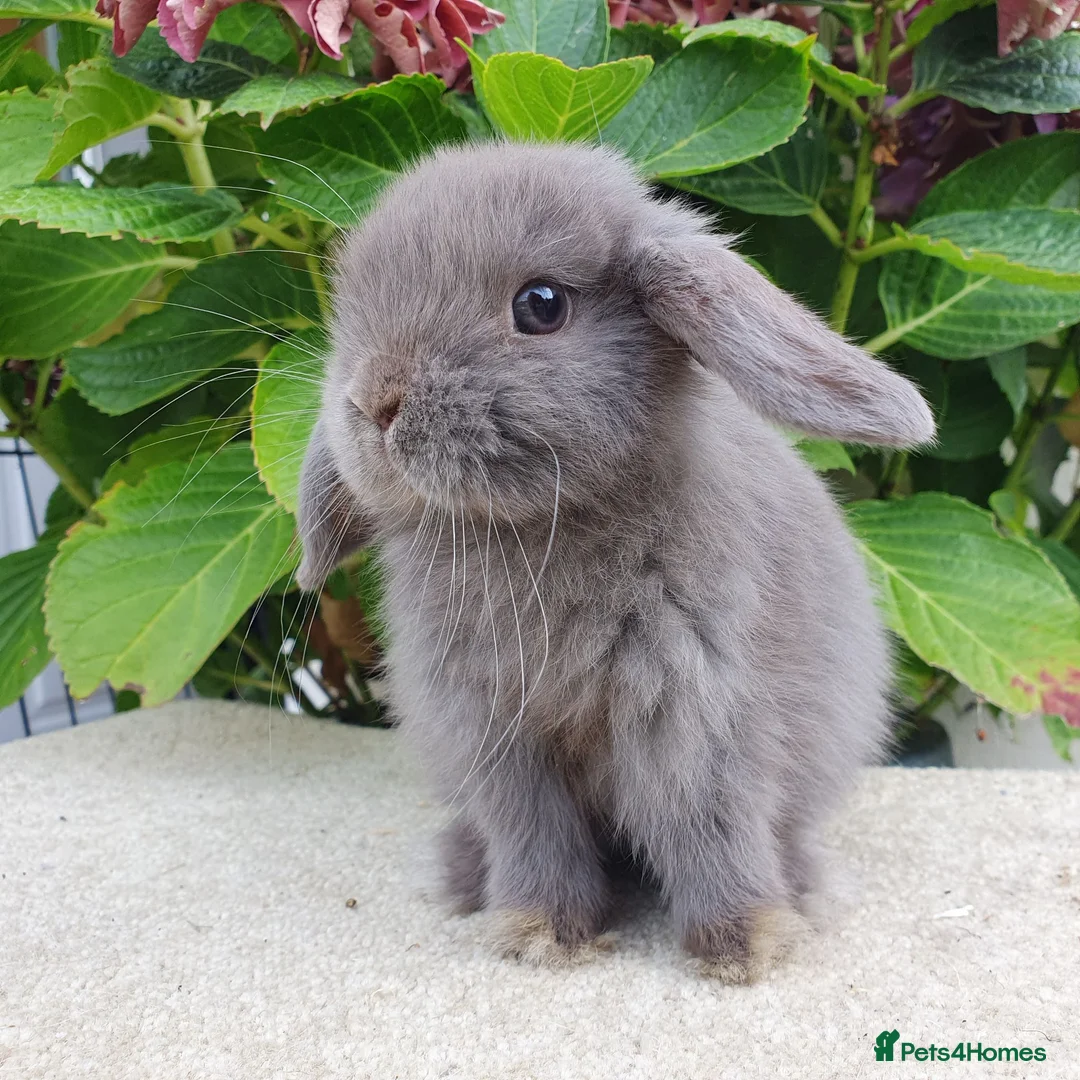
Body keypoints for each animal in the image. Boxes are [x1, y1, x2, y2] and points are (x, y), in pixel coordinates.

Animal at [295, 141, 934, 983]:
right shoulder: (496, 736)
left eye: (540, 305)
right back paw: (461, 876)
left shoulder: (694, 713)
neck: (533, 530)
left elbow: (710, 828)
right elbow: (533, 833)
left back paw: (806, 893)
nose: (375, 401)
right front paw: (541, 932)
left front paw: (747, 945)